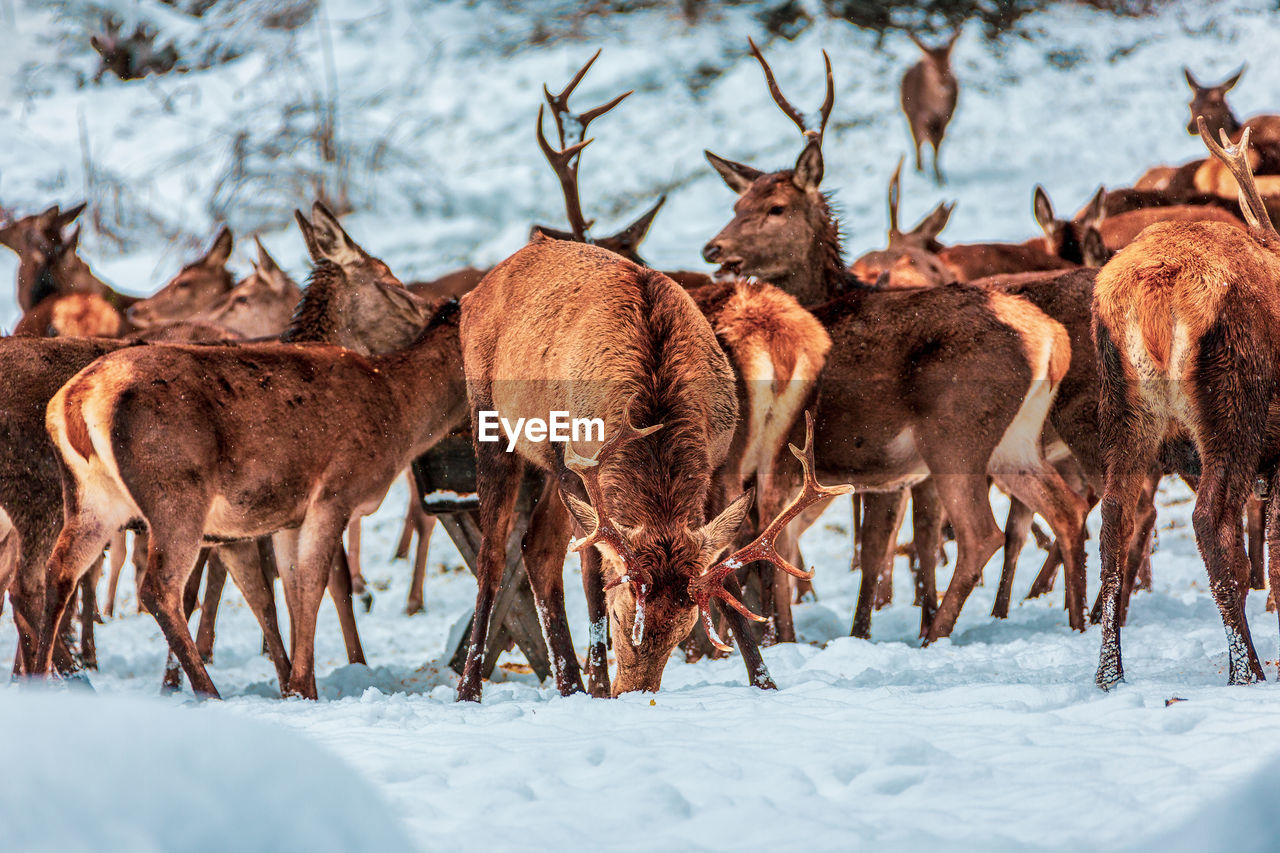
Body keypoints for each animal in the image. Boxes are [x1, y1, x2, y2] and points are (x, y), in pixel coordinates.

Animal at [901, 32, 962, 184]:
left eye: (948, 63)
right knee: (917, 142)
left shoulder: (946, 117)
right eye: (932, 66)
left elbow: (937, 145)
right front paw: (923, 172)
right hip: (909, 114)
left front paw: (939, 177)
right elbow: (923, 140)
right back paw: (919, 169)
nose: (943, 83)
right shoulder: (918, 115)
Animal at [1090, 117, 1280, 686]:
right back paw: (1247, 673)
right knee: (1209, 522)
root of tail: (1155, 291)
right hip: (1233, 403)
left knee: (1114, 519)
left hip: (1124, 412)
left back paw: (1109, 674)